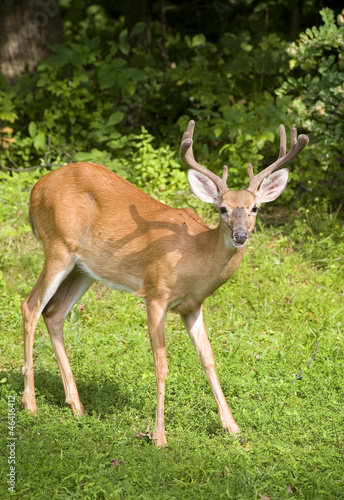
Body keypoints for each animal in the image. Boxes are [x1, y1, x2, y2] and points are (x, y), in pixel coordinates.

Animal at [20, 120, 308, 446]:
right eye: (222, 208)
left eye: (254, 208)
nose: (240, 235)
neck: (194, 255)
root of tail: (36, 189)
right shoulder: (156, 293)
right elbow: (161, 365)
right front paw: (159, 437)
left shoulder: (193, 306)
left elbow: (208, 358)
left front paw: (232, 427)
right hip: (57, 247)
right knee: (31, 306)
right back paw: (30, 404)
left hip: (84, 269)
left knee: (54, 312)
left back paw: (77, 405)